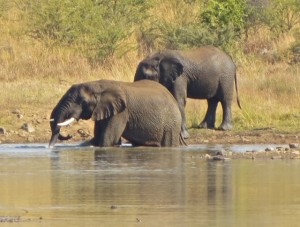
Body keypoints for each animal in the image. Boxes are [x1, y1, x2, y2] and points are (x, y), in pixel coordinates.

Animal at [48, 79, 185, 148]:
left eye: (82, 101)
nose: (70, 135)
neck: (97, 84)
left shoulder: (121, 112)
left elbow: (108, 140)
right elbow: (98, 139)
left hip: (171, 124)